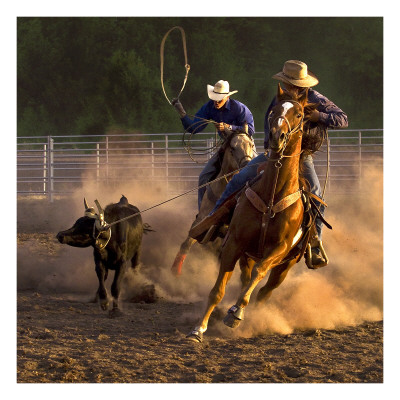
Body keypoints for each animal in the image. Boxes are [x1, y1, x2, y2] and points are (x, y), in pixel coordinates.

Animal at [170, 130, 255, 276]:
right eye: (232, 148)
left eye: (251, 144)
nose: (247, 165)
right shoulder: (201, 223)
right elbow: (186, 244)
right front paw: (174, 271)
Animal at [188, 86, 316, 342]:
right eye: (273, 111)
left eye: (299, 114)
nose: (277, 136)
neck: (272, 196)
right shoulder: (234, 243)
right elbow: (217, 291)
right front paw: (199, 328)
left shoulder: (279, 249)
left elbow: (259, 273)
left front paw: (236, 314)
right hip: (247, 253)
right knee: (247, 280)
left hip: (286, 264)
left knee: (264, 290)